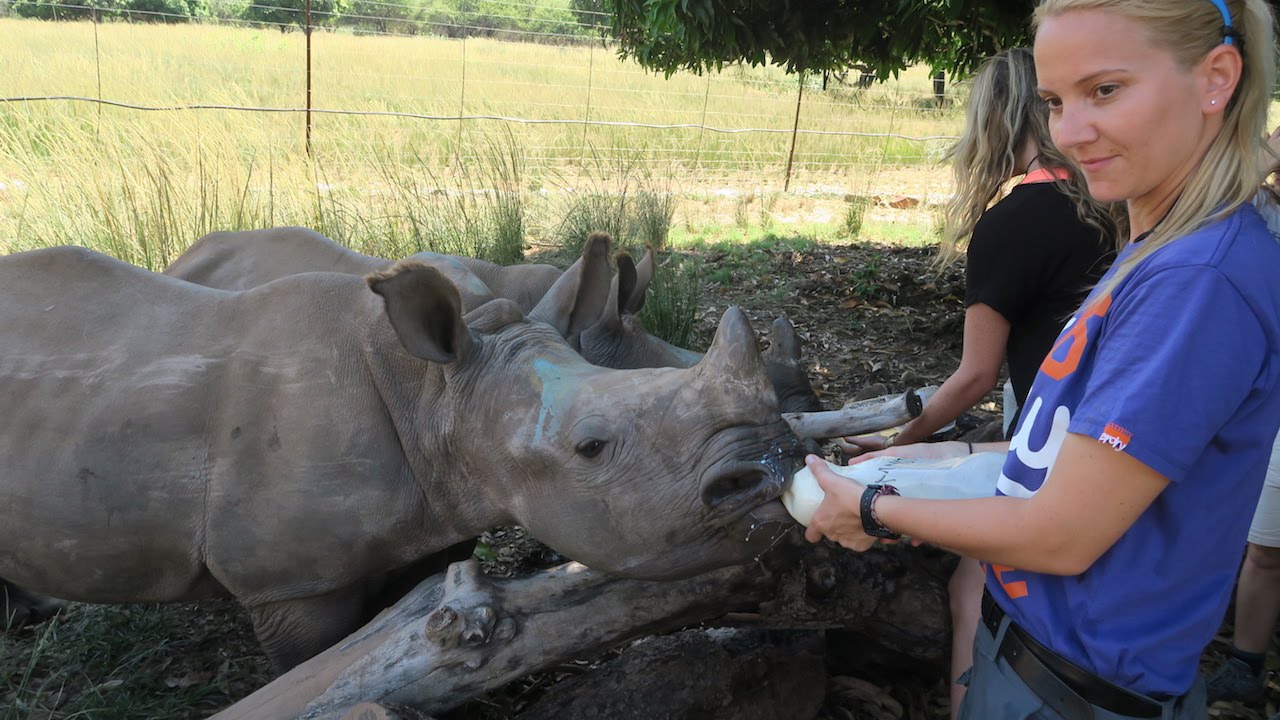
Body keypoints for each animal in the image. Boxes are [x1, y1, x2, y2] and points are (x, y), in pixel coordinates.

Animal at [0, 246, 801, 669]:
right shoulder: (290, 580)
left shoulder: (434, 508)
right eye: (591, 446)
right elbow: (319, 663)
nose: (773, 468)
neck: (438, 391)